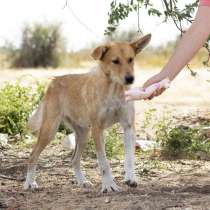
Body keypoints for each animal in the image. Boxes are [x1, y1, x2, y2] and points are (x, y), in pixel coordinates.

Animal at [23, 33, 152, 193]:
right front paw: (108, 185)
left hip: (84, 133)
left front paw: (130, 178)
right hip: (50, 130)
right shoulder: (98, 129)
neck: (114, 90)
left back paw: (82, 181)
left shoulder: (128, 126)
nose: (130, 79)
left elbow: (129, 157)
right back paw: (29, 183)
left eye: (131, 59)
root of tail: (53, 81)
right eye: (115, 61)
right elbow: (104, 162)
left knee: (74, 160)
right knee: (33, 155)